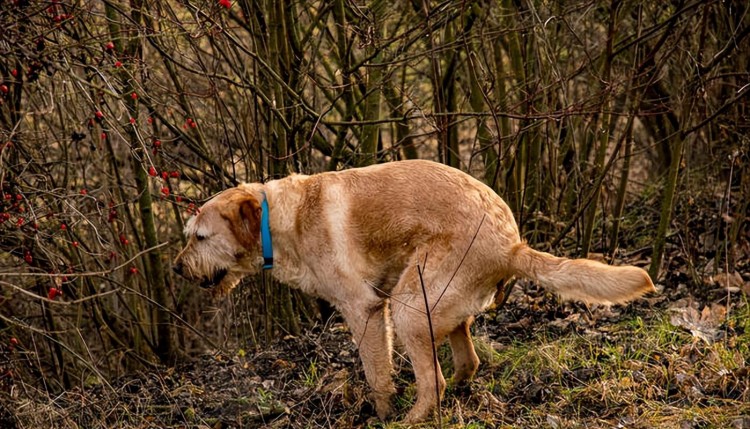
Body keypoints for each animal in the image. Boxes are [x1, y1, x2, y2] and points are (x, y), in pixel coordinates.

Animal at [173, 158, 656, 422]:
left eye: (199, 237)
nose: (177, 268)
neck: (280, 220)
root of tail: (511, 244)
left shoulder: (365, 310)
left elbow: (377, 376)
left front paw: (381, 414)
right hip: (430, 300)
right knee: (466, 362)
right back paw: (458, 390)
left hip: (409, 306)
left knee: (434, 380)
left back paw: (411, 419)